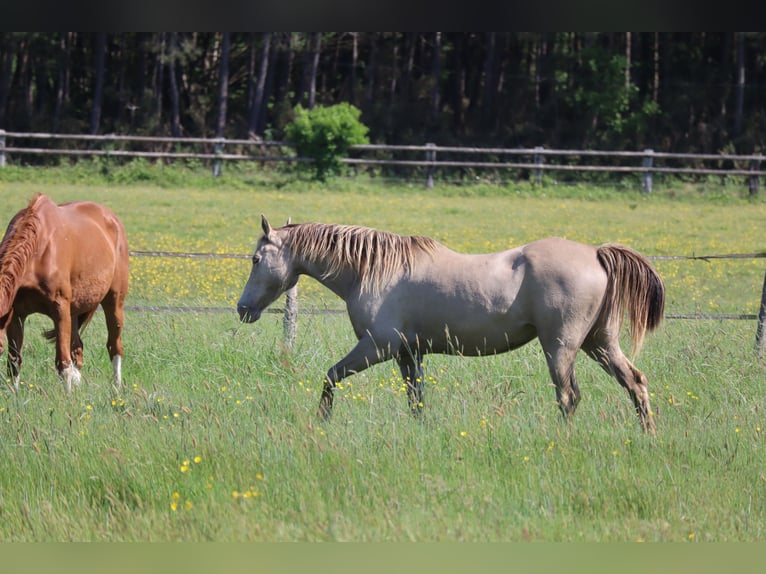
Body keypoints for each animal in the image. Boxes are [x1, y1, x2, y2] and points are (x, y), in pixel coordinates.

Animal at [0, 194, 129, 392]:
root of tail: (113, 219)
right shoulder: (16, 315)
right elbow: (14, 363)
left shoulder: (59, 309)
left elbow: (62, 362)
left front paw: (66, 396)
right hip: (74, 311)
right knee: (77, 349)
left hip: (114, 301)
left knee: (114, 347)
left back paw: (116, 388)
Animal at [237, 216, 665, 432]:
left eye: (256, 259)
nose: (243, 308)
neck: (372, 271)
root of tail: (595, 253)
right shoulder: (409, 354)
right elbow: (416, 400)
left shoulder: (377, 347)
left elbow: (330, 377)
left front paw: (322, 422)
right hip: (599, 343)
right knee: (635, 383)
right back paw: (646, 435)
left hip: (560, 347)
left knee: (568, 396)